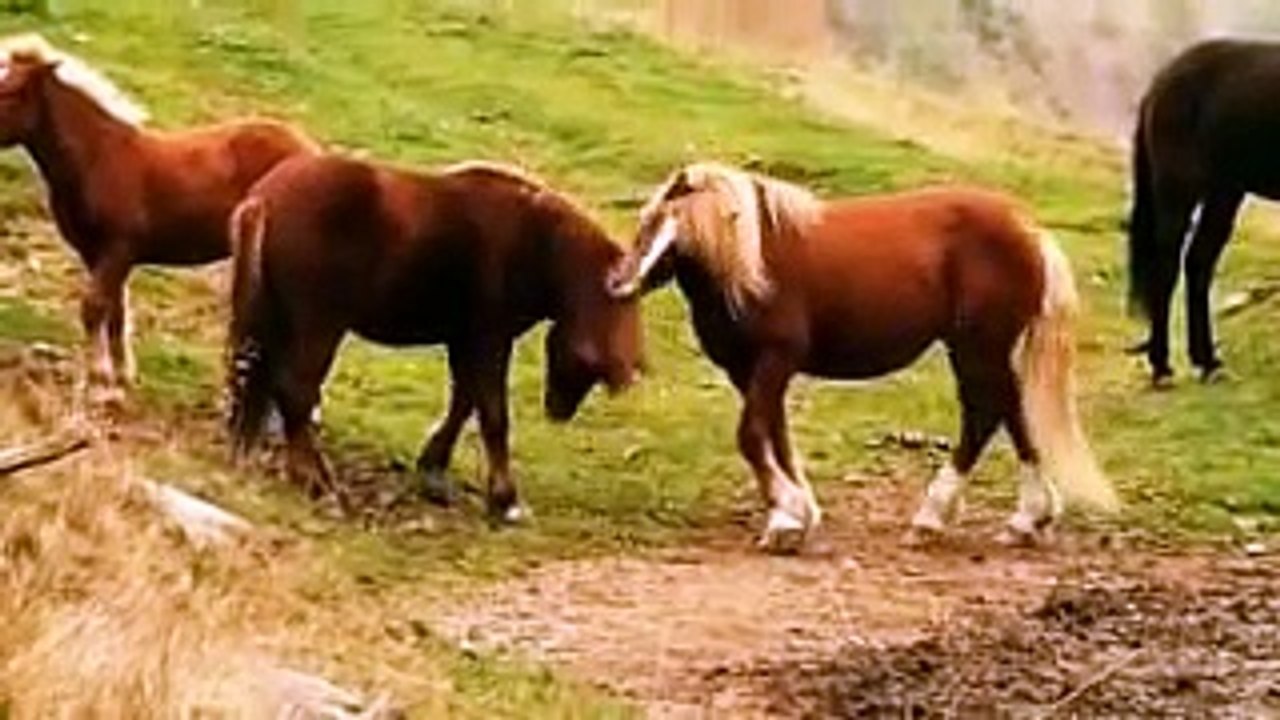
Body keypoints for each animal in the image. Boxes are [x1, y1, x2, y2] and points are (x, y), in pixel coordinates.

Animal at [0, 33, 317, 403]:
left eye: (14, 90)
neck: (99, 157)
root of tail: (315, 154)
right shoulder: (95, 253)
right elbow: (116, 311)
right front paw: (122, 376)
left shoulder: (117, 249)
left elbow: (93, 307)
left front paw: (99, 380)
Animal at [225, 155, 644, 520]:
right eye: (591, 355)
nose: (559, 410)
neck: (538, 244)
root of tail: (263, 200)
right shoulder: (490, 338)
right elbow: (493, 415)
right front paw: (505, 500)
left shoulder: (465, 341)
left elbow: (464, 402)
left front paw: (433, 471)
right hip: (319, 326)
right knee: (294, 390)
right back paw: (319, 485)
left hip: (276, 320)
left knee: (261, 380)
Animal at [607, 162, 1117, 552]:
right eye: (647, 221)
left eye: (678, 232)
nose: (619, 284)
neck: (750, 267)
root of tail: (1028, 229)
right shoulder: (746, 371)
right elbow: (776, 436)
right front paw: (800, 512)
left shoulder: (774, 360)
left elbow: (752, 437)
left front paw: (785, 521)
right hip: (978, 349)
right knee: (1008, 410)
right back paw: (1026, 519)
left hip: (978, 346)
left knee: (985, 414)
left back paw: (935, 517)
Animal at [1129, 38, 1280, 385]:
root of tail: (1160, 82)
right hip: (1179, 190)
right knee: (1168, 266)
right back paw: (1162, 366)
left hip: (1223, 191)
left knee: (1198, 262)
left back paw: (1207, 362)